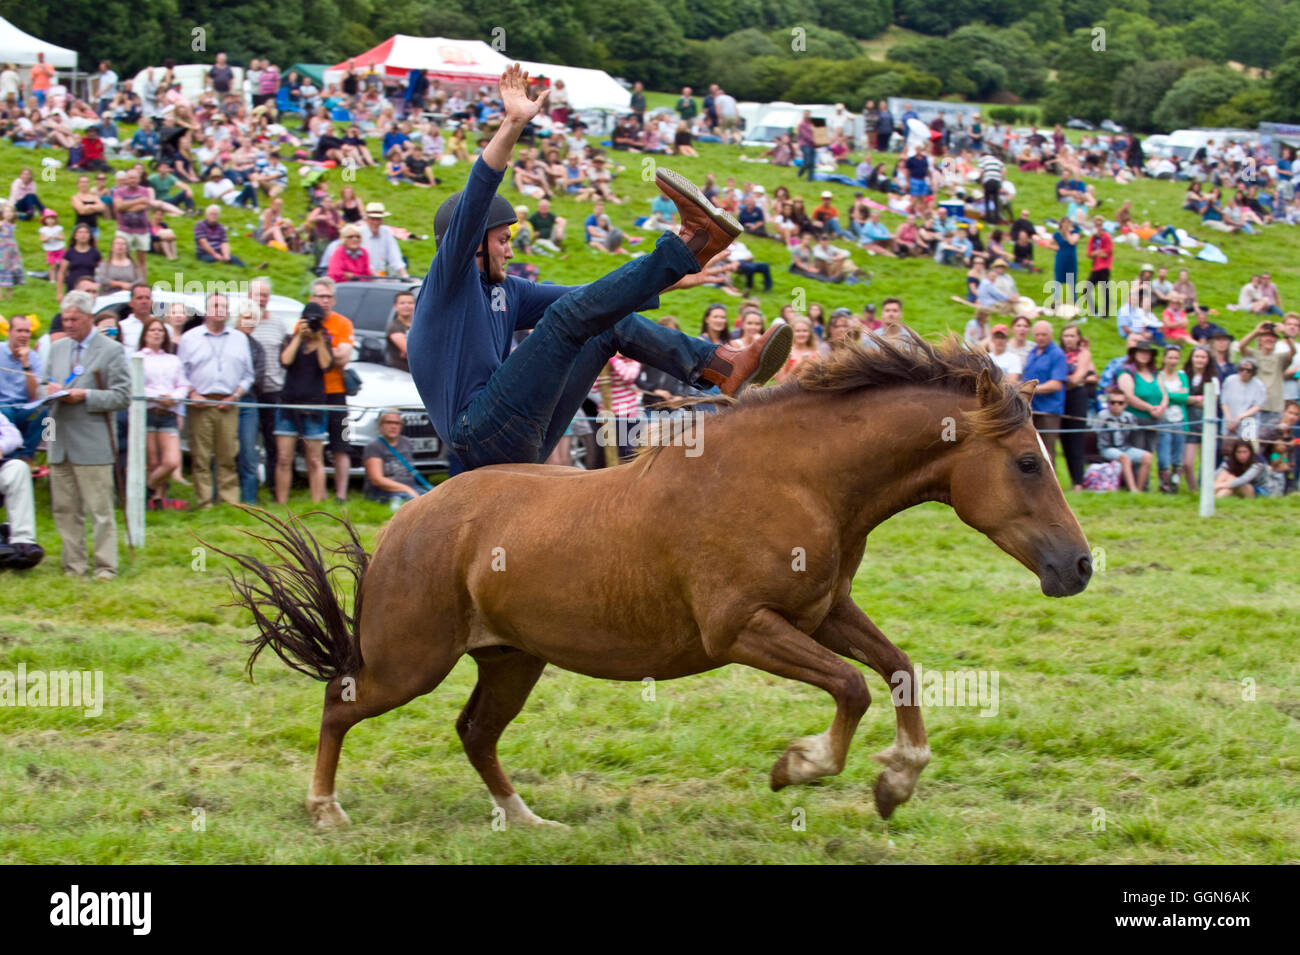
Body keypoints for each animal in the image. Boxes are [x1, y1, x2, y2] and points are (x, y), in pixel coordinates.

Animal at [218, 336, 1092, 829]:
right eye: (1026, 462)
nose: (1079, 565)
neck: (798, 476)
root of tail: (407, 518)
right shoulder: (743, 628)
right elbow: (851, 687)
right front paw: (800, 766)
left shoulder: (823, 611)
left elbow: (898, 669)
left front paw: (896, 781)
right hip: (411, 660)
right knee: (341, 703)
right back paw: (326, 809)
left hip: (511, 658)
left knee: (474, 731)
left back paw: (527, 819)